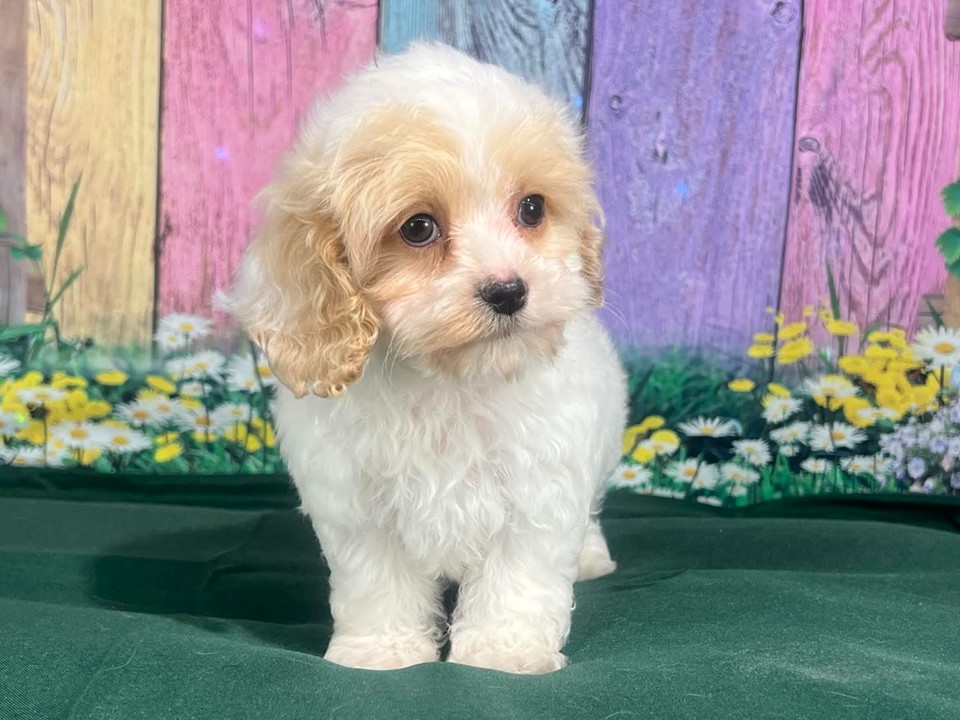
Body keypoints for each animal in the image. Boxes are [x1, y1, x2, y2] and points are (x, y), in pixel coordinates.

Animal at [230, 43, 627, 674]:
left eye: (532, 209)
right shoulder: (359, 505)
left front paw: (502, 651)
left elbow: (518, 577)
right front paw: (381, 651)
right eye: (418, 228)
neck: (450, 379)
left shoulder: (538, 489)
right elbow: (378, 582)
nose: (508, 291)